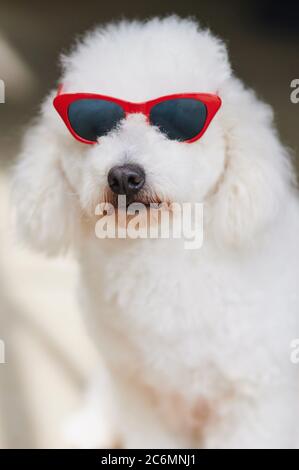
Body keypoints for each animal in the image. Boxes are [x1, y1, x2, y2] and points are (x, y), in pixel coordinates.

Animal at [12, 15, 299, 448]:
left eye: (176, 123)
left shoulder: (255, 402)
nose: (124, 177)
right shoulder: (142, 400)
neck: (158, 250)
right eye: (94, 126)